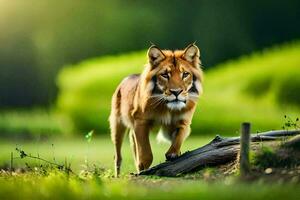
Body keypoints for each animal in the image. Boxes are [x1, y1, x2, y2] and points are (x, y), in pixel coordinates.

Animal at [109, 43, 203, 177]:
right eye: (165, 75)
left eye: (185, 74)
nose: (176, 92)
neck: (168, 108)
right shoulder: (141, 121)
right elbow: (145, 151)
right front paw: (143, 167)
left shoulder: (184, 122)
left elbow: (179, 138)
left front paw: (173, 154)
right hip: (117, 124)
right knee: (117, 156)